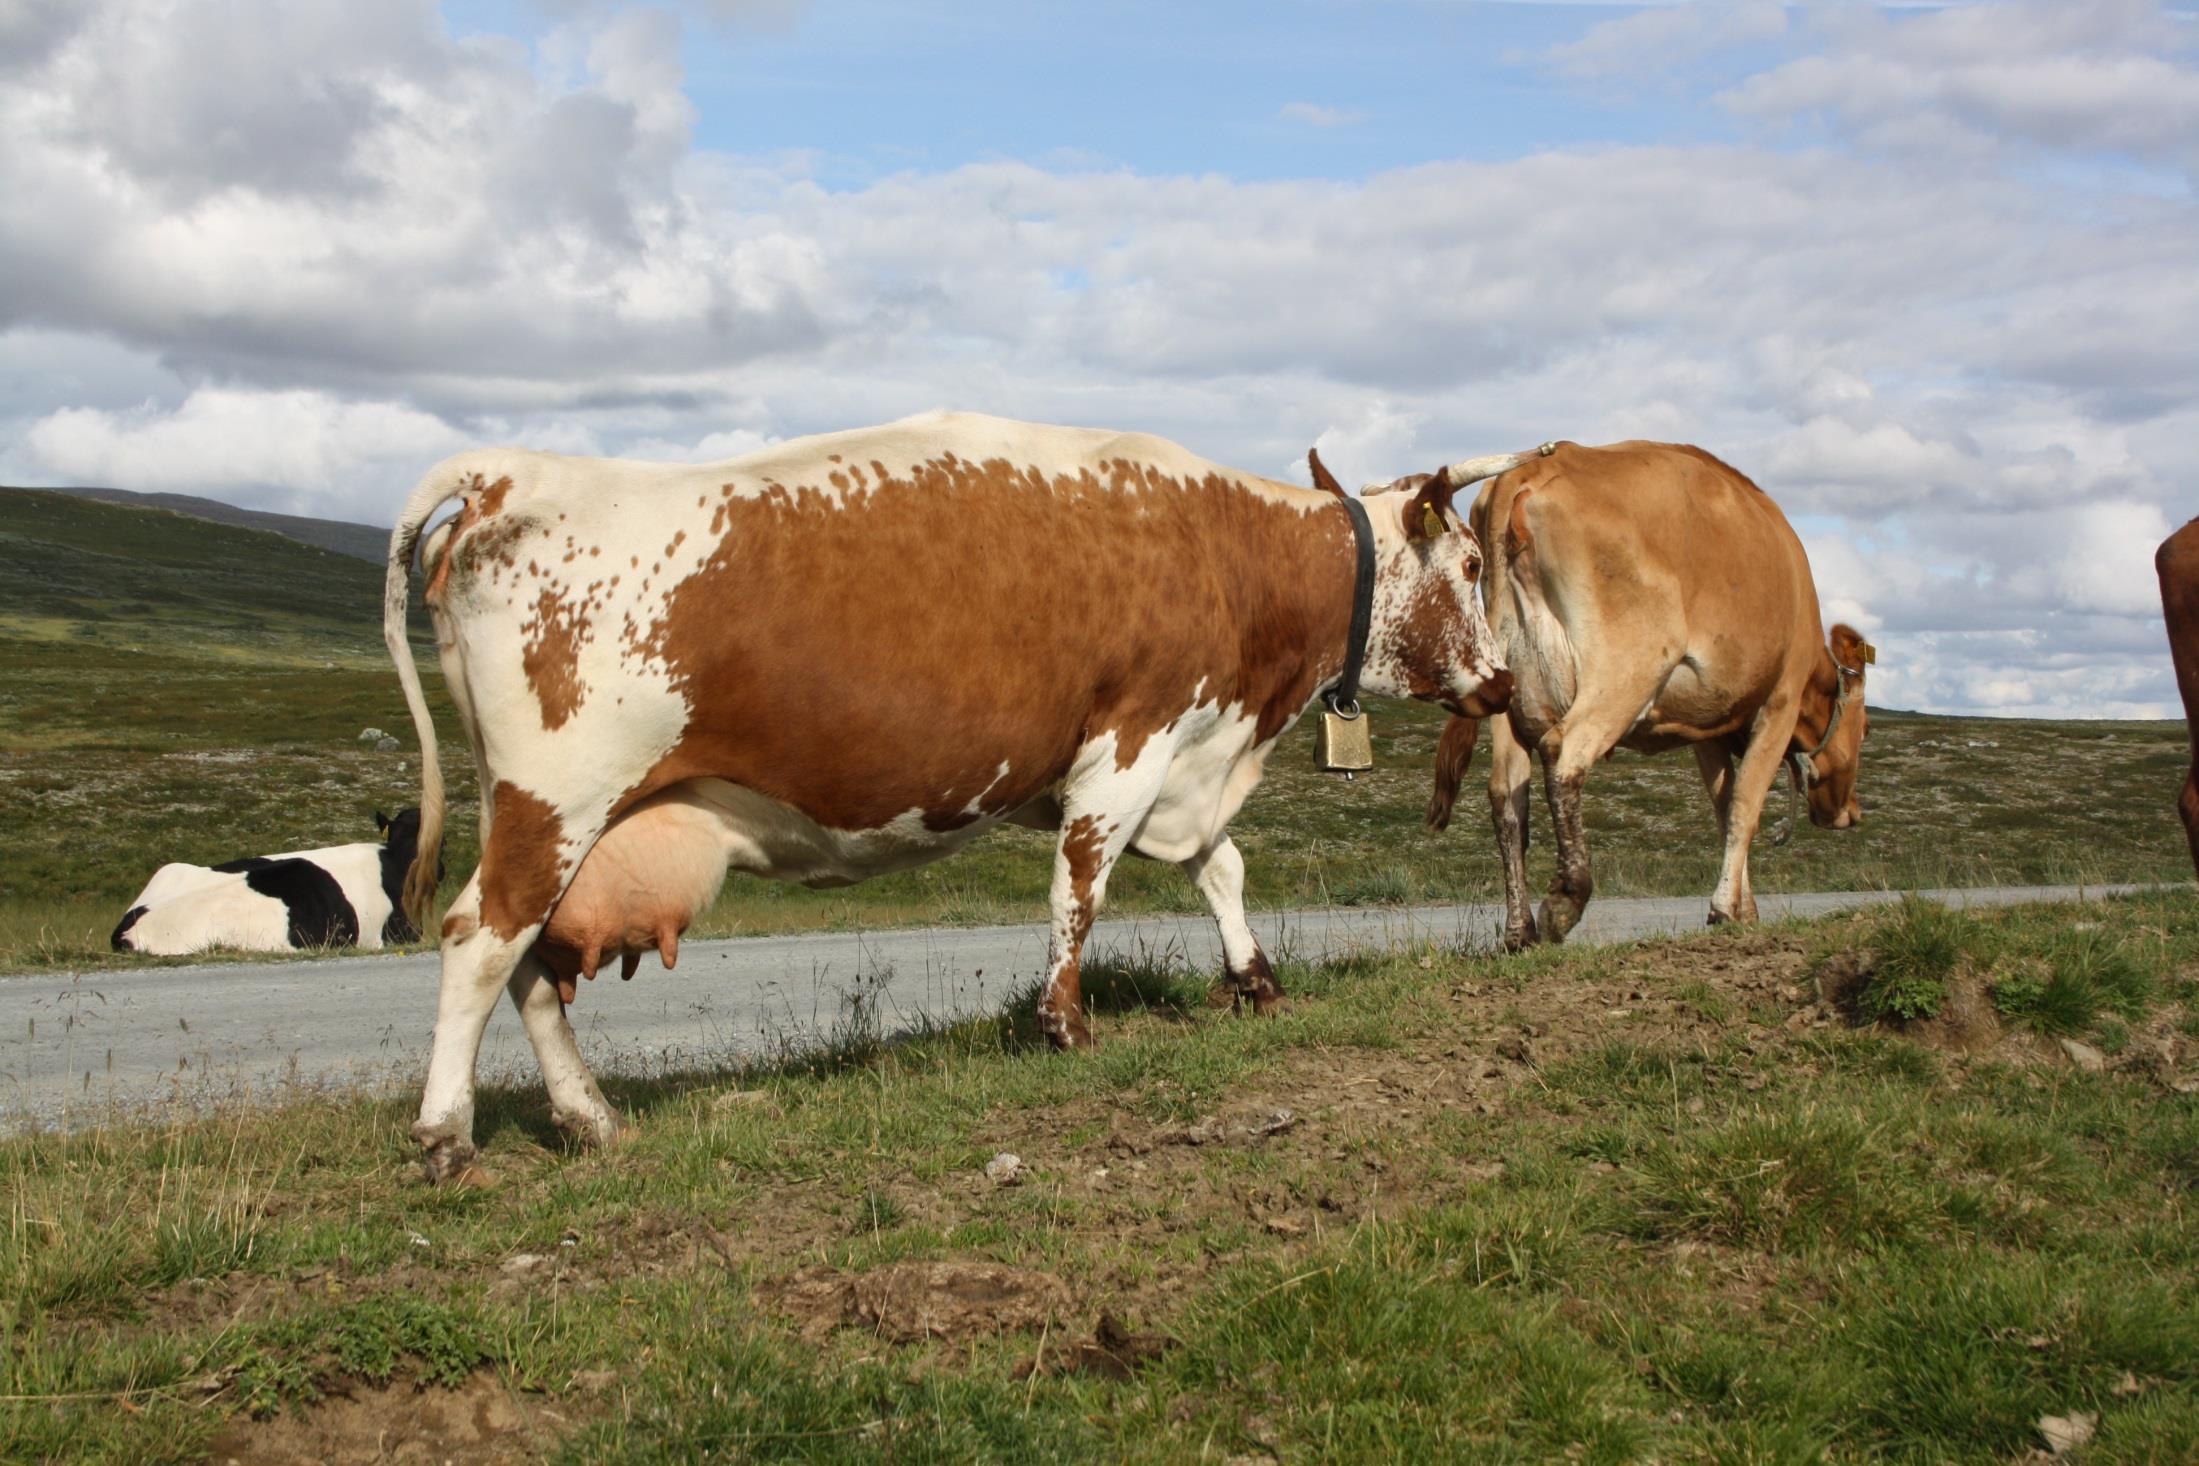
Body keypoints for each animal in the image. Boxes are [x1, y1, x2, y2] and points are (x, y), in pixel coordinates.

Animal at [1407, 435, 1873, 945]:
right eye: (1866, 729)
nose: (1852, 813)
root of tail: (1530, 471)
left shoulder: (1705, 727)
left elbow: (1722, 805)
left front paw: (1743, 909)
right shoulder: (1781, 701)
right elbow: (1745, 807)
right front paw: (1725, 910)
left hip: (1509, 686)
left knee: (1507, 796)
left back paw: (1519, 930)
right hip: (1629, 665)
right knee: (1564, 753)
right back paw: (1565, 901)